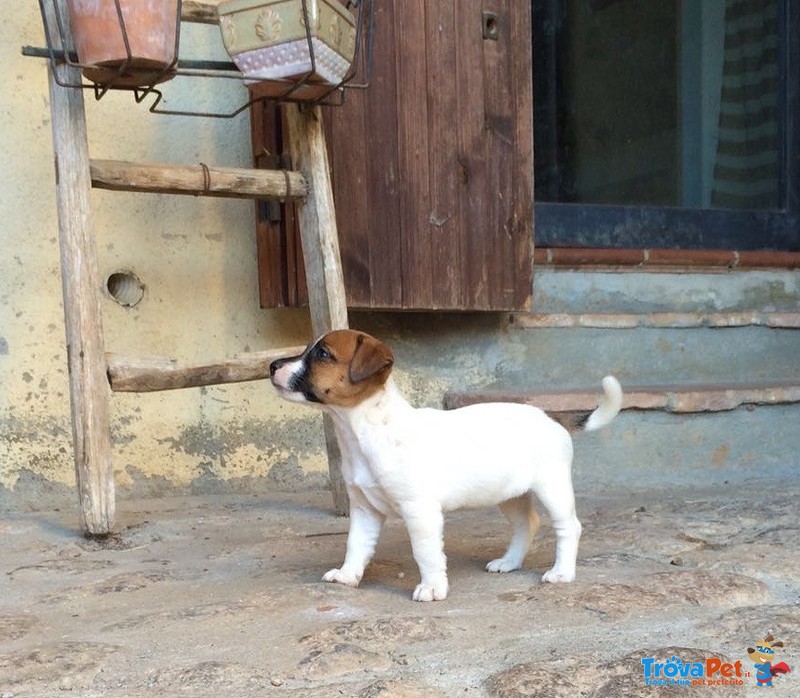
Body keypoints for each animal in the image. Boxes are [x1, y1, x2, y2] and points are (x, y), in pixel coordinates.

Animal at [270, 328, 624, 600]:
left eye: (323, 354)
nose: (272, 365)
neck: (367, 429)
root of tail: (551, 417)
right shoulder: (364, 509)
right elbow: (355, 545)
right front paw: (348, 575)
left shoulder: (419, 511)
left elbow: (425, 553)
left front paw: (432, 588)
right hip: (509, 494)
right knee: (528, 525)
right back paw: (509, 562)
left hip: (553, 488)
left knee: (569, 527)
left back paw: (561, 572)